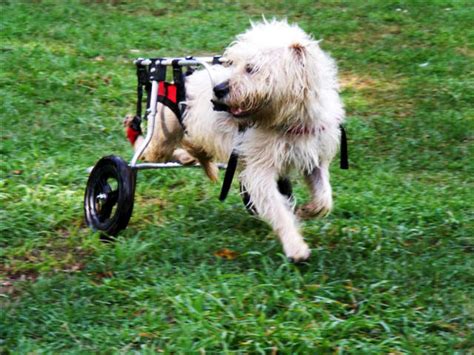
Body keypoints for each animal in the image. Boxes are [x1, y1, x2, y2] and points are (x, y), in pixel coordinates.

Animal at [128, 20, 344, 264]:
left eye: (251, 68)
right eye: (232, 63)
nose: (218, 90)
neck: (288, 120)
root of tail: (179, 78)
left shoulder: (314, 159)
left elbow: (324, 195)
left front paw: (309, 210)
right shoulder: (260, 170)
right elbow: (279, 210)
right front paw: (295, 246)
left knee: (191, 147)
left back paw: (191, 156)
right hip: (164, 131)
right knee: (147, 151)